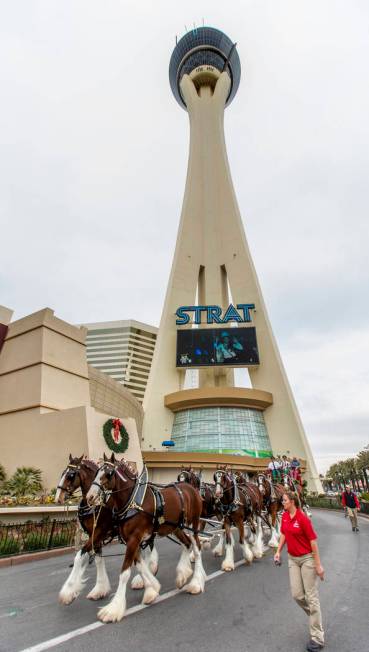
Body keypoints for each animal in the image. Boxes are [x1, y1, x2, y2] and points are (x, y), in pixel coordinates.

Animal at [87, 454, 206, 620]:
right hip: (176, 527)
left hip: (193, 524)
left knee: (197, 548)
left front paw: (113, 609)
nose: (90, 496)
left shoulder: (134, 538)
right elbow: (140, 565)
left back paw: (196, 583)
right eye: (97, 471)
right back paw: (182, 575)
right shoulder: (131, 540)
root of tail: (191, 489)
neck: (133, 502)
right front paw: (152, 589)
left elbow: (125, 573)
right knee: (187, 543)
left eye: (109, 473)